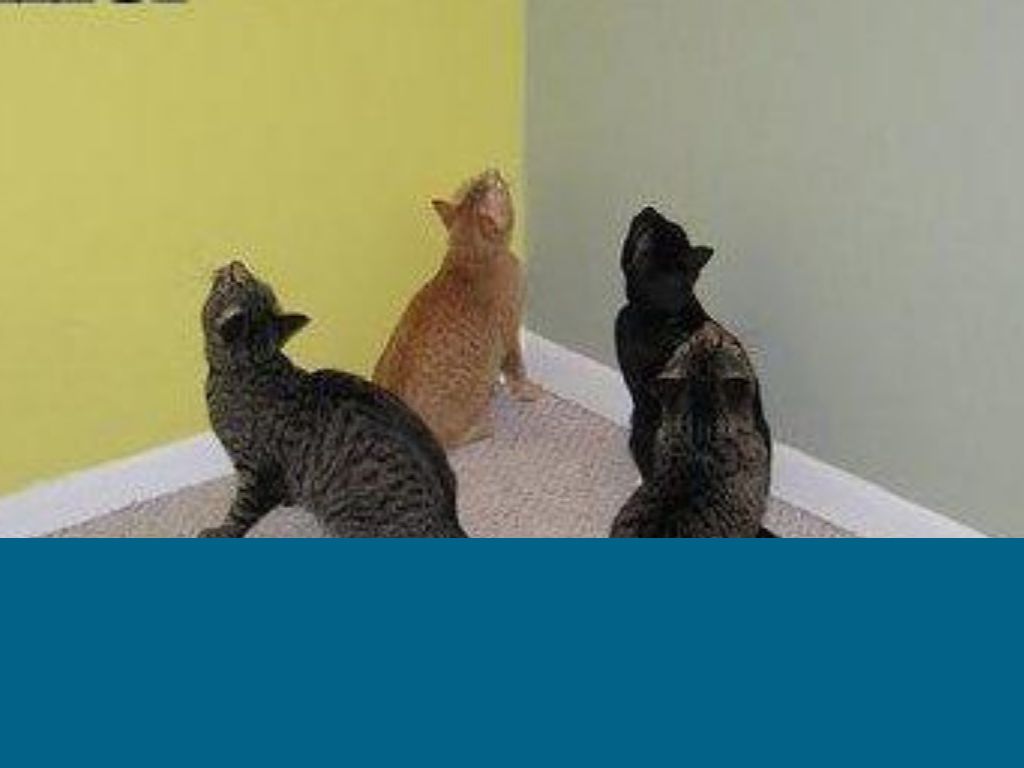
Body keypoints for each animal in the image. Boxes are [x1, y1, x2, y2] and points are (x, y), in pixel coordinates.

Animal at [199, 261, 466, 538]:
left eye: (239, 280)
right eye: (250, 281)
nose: (236, 263)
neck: (251, 367)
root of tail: (449, 521)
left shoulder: (258, 472)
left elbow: (240, 511)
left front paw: (222, 531)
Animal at [373, 169, 542, 449]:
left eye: (480, 180)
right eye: (495, 185)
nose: (494, 170)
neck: (469, 259)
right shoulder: (510, 329)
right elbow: (515, 367)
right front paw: (526, 390)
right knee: (453, 438)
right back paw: (481, 428)